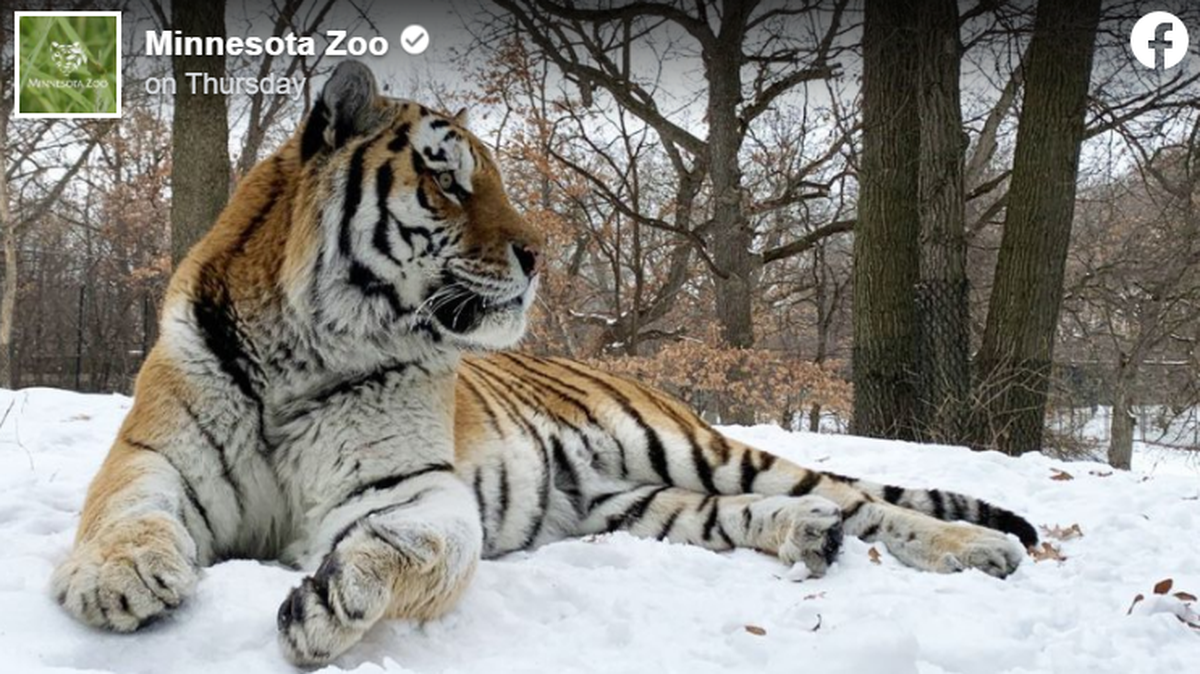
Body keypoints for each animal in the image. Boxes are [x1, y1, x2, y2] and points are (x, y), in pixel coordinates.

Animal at [51, 61, 1037, 667]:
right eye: (448, 179)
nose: (538, 255)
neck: (307, 346)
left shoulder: (410, 489)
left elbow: (411, 547)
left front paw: (334, 602)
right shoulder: (153, 455)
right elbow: (125, 515)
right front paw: (117, 582)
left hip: (697, 449)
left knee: (864, 501)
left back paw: (981, 548)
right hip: (630, 504)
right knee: (764, 513)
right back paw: (809, 537)